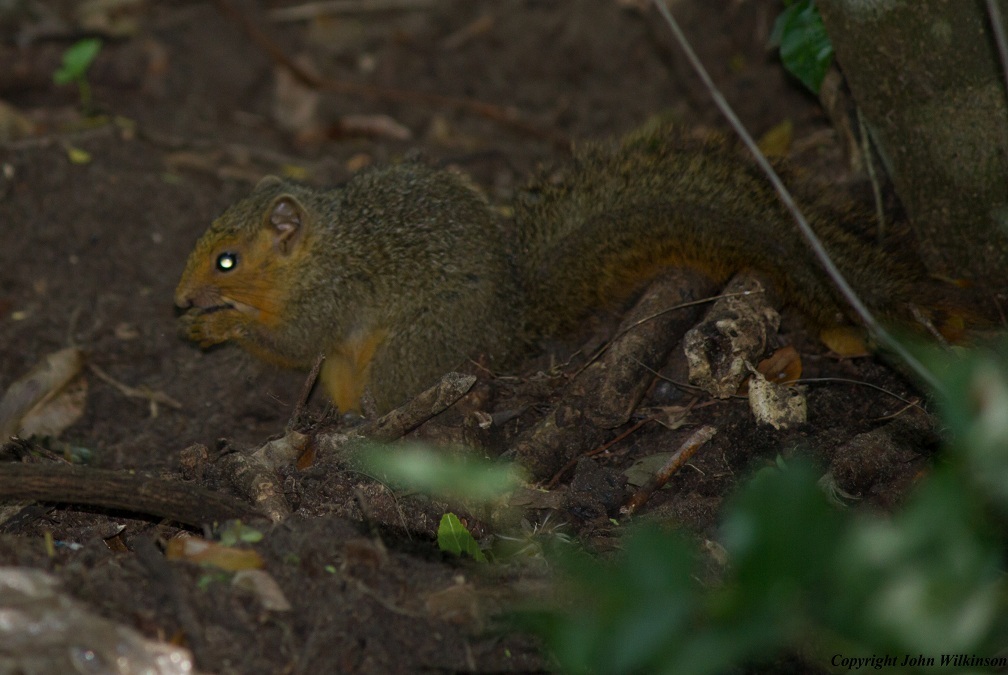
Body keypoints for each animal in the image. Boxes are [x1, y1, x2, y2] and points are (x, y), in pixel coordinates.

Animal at [171, 124, 951, 415]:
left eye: (227, 260)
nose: (179, 299)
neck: (316, 251)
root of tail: (514, 317)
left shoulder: (331, 294)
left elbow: (294, 340)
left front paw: (218, 328)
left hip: (419, 344)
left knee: (389, 391)